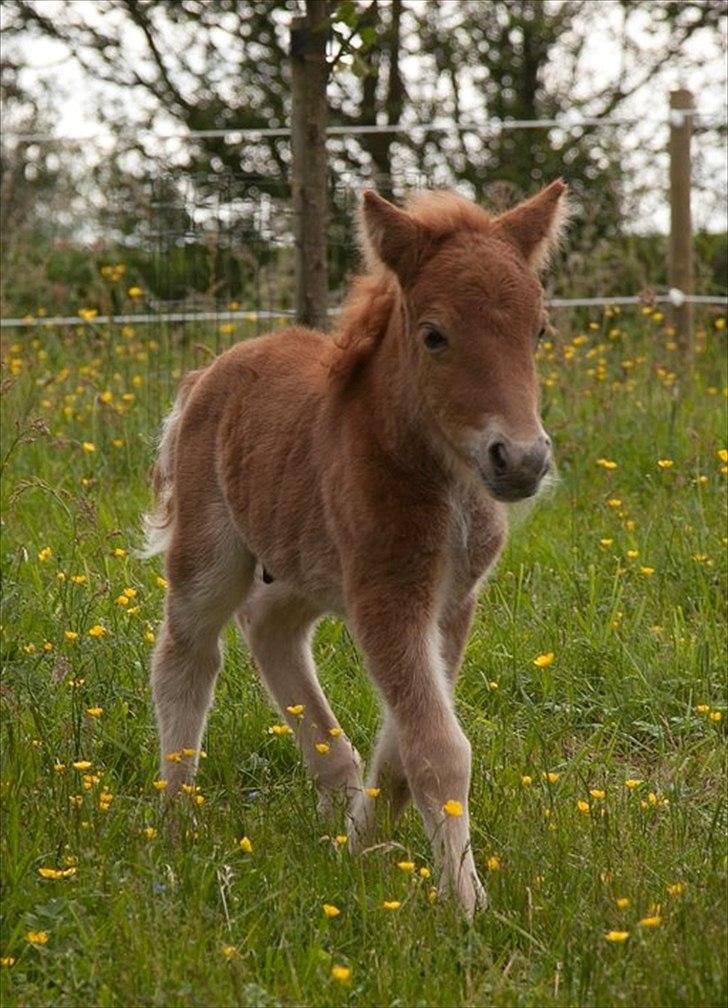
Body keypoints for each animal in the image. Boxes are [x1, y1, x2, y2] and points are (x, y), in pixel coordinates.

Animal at [143, 179, 568, 915]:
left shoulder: (450, 602)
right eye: (434, 336)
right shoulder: (386, 595)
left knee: (270, 628)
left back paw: (333, 791)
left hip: (306, 567)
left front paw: (359, 843)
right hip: (212, 554)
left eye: (538, 331)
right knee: (188, 655)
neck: (437, 475)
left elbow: (407, 738)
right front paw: (466, 904)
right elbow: (438, 747)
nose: (520, 461)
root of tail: (210, 374)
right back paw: (175, 823)